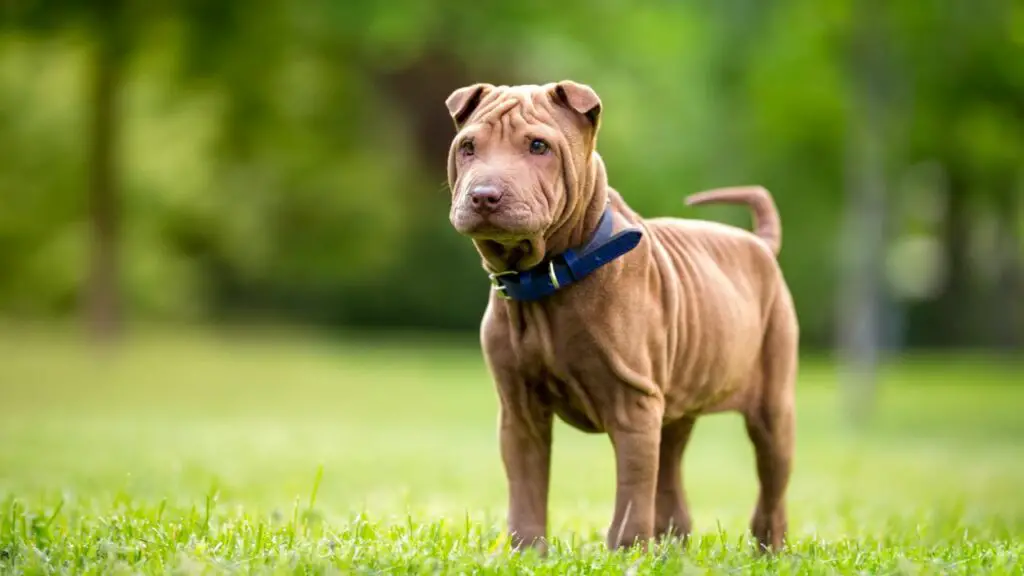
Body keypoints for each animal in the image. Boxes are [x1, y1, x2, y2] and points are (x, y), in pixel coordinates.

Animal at [444, 80, 794, 553]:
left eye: (538, 146)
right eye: (468, 147)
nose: (483, 195)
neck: (546, 279)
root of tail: (760, 245)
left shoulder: (633, 405)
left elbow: (631, 491)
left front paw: (626, 553)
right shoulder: (519, 410)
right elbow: (527, 488)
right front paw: (525, 553)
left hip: (773, 406)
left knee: (770, 485)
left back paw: (769, 551)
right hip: (676, 407)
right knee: (671, 475)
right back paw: (672, 549)